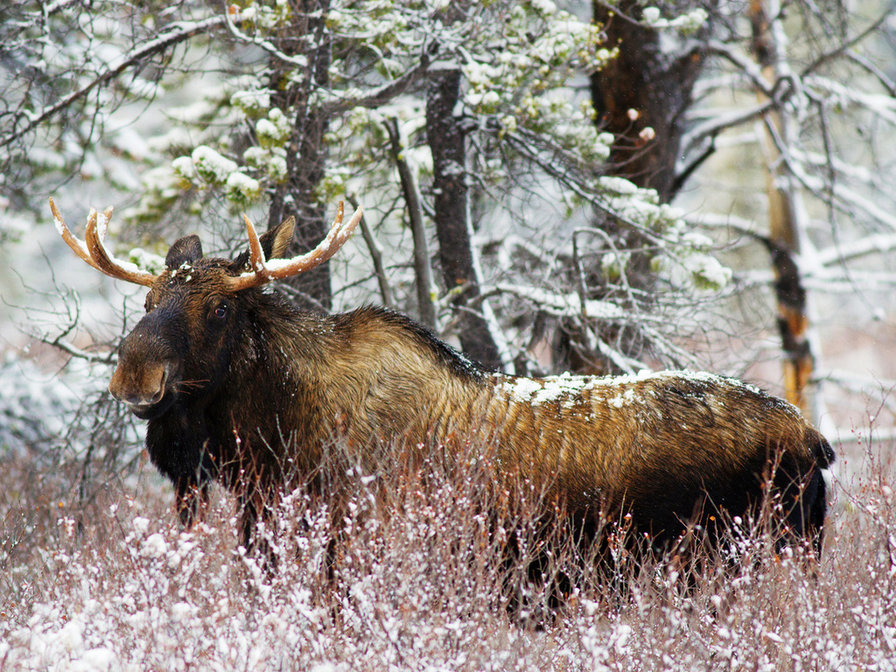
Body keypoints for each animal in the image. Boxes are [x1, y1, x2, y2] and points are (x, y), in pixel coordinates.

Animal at [49, 196, 834, 572]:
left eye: (218, 308)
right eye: (148, 303)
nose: (135, 372)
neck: (268, 443)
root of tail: (816, 440)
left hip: (748, 560)